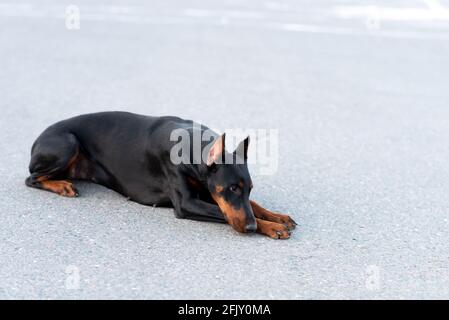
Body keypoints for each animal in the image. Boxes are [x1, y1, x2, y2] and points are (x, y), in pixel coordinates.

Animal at [26, 111, 296, 239]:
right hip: (67, 143)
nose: (250, 227)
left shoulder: (208, 190)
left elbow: (253, 205)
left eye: (248, 188)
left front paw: (277, 217)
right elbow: (225, 212)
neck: (191, 148)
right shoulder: (187, 203)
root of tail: (37, 140)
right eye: (232, 188)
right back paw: (62, 185)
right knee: (31, 179)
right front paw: (271, 227)